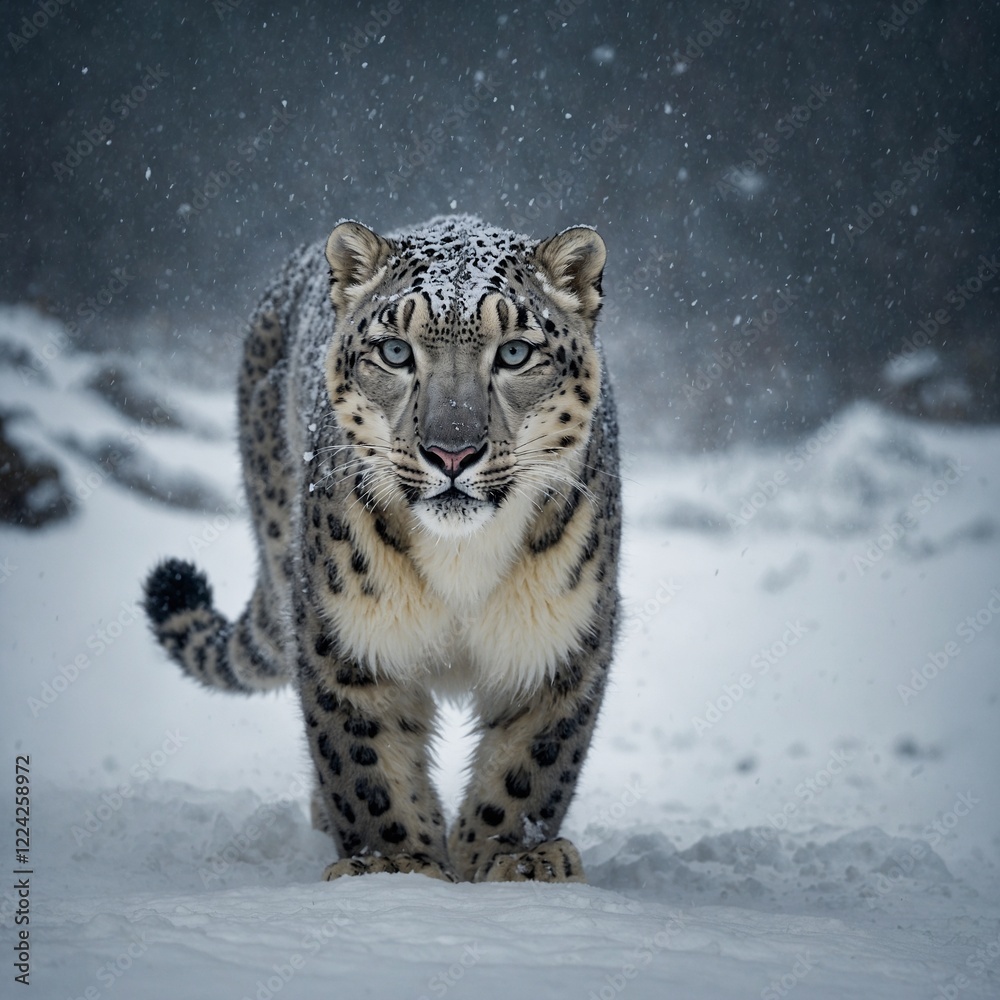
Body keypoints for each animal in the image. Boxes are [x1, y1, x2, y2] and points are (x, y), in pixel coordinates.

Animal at [143, 214, 621, 884]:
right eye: (395, 351)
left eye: (515, 352)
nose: (452, 451)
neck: (461, 562)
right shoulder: (345, 631)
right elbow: (364, 758)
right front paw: (393, 864)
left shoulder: (561, 634)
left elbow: (531, 761)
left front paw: (514, 856)